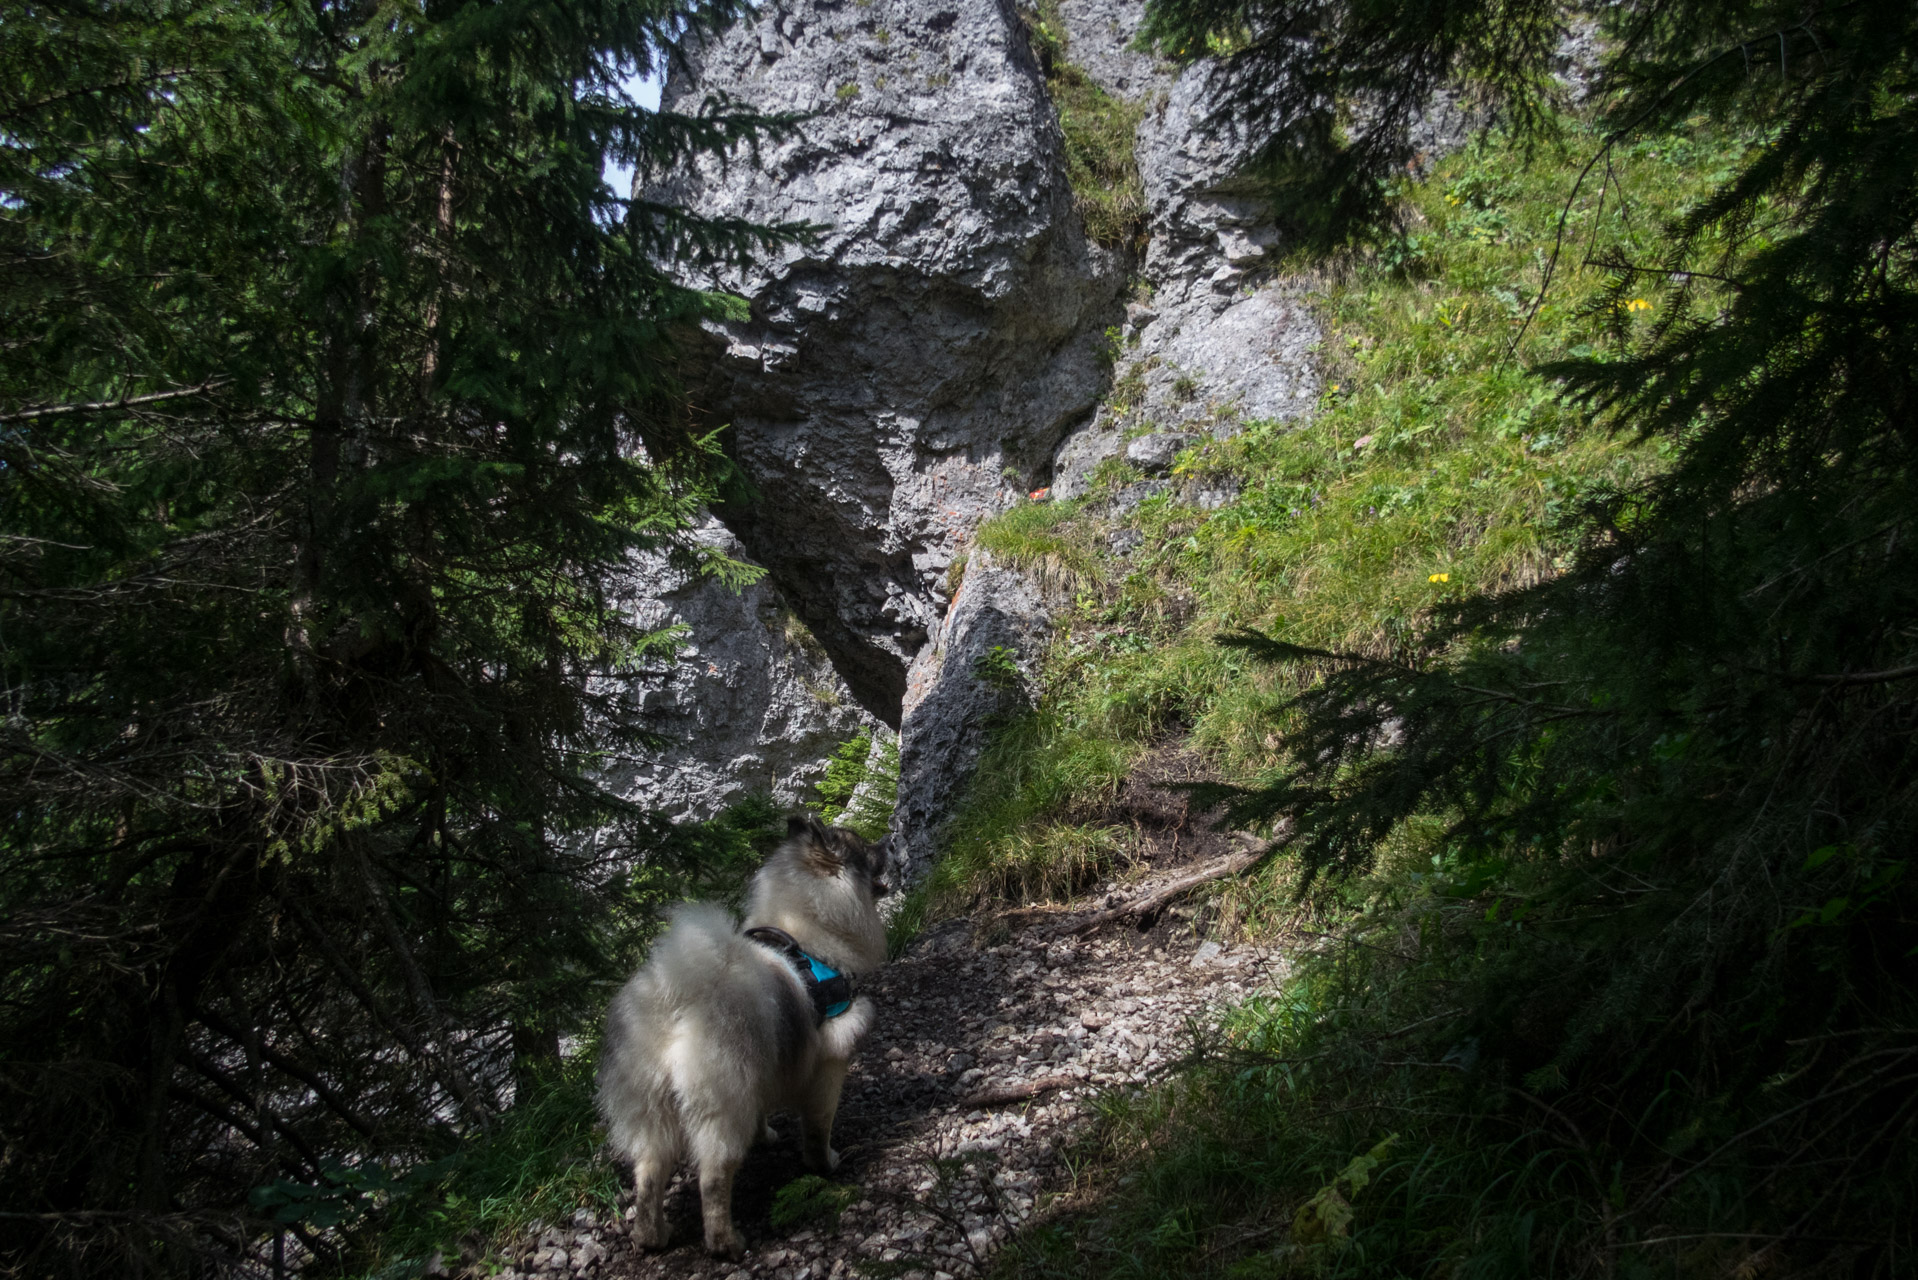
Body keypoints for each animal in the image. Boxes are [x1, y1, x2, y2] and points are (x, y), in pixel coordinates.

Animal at [598, 817, 889, 1258]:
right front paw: (824, 1164)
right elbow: (818, 1127)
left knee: (648, 1176)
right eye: (866, 850)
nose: (889, 842)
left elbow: (765, 1110)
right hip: (720, 1105)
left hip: (652, 1111)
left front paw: (765, 1136)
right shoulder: (830, 1062)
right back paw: (726, 1242)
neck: (812, 932)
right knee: (713, 1178)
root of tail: (676, 1007)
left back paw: (652, 1237)